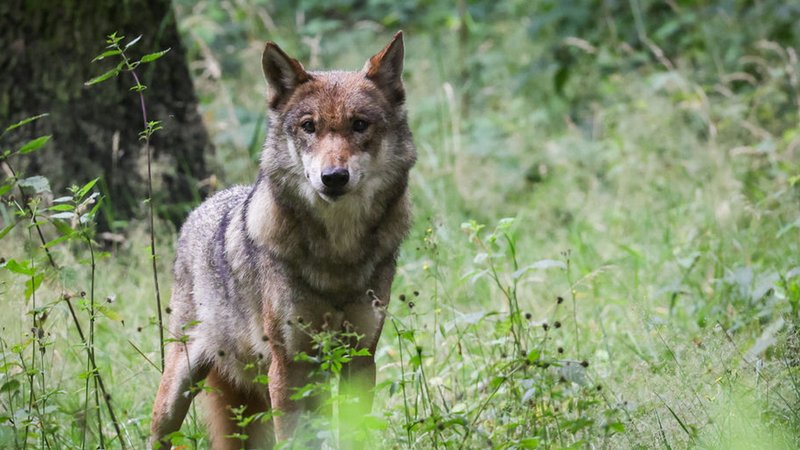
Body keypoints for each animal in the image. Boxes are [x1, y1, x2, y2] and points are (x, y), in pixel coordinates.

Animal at [149, 31, 416, 449]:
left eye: (360, 125)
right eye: (309, 126)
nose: (333, 177)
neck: (338, 253)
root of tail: (202, 207)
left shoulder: (359, 357)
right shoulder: (289, 365)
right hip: (178, 391)